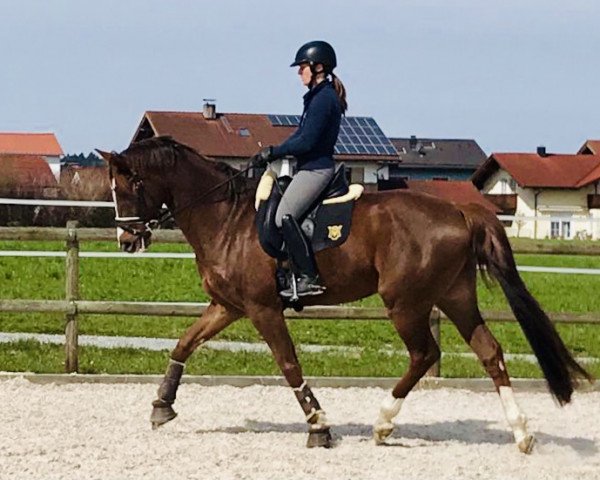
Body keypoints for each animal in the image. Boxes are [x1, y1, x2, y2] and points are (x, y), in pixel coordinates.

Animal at [98, 137, 592, 452]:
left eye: (129, 186)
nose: (126, 240)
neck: (228, 218)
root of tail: (461, 210)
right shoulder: (229, 306)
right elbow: (184, 342)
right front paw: (162, 405)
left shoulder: (262, 308)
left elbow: (288, 363)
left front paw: (319, 426)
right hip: (454, 297)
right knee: (489, 352)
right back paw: (521, 434)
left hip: (406, 303)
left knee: (425, 354)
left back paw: (383, 423)